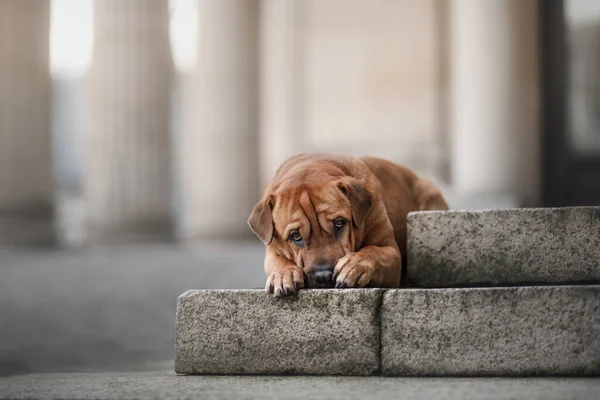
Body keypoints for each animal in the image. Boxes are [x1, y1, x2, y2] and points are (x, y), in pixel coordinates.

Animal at [246, 153, 448, 296]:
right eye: (295, 236)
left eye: (339, 224)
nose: (323, 275)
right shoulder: (272, 251)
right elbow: (278, 261)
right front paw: (283, 274)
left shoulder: (391, 252)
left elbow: (373, 251)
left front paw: (355, 264)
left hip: (430, 193)